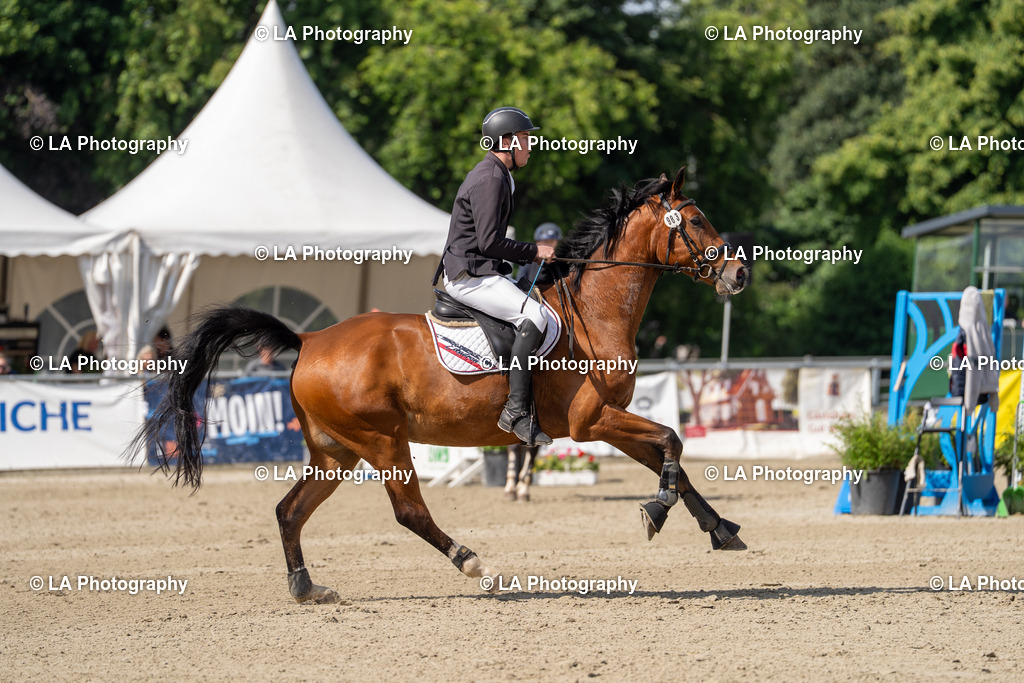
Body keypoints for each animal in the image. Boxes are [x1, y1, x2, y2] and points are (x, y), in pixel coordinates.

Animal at [131, 167, 748, 603]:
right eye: (695, 220)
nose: (738, 273)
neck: (594, 313)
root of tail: (307, 340)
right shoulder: (591, 421)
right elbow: (672, 440)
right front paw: (656, 512)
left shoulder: (611, 423)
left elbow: (674, 460)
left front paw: (719, 529)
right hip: (383, 442)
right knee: (409, 513)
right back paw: (475, 564)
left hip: (335, 452)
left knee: (290, 510)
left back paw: (307, 588)